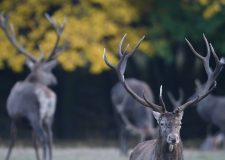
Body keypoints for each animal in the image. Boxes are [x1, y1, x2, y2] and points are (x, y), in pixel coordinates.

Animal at [0, 12, 66, 160]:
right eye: (49, 71)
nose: (55, 80)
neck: (33, 79)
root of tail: (48, 96)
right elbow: (34, 144)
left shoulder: (14, 118)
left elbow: (13, 142)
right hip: (48, 117)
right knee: (50, 137)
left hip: (35, 115)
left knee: (43, 138)